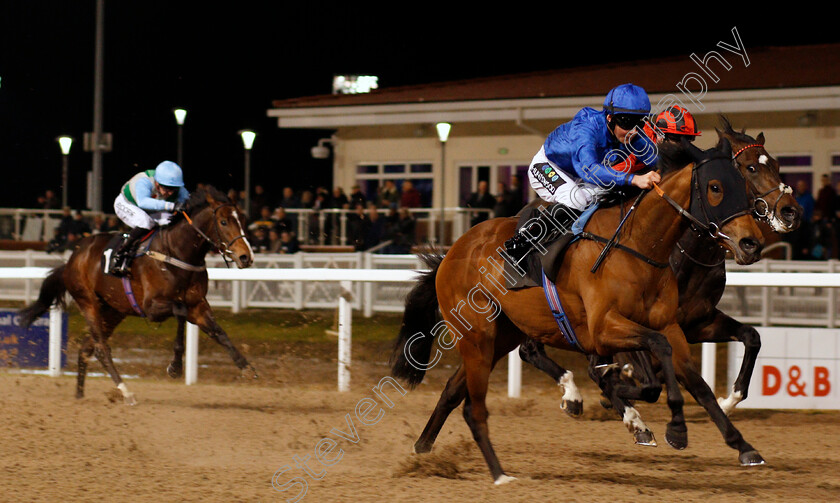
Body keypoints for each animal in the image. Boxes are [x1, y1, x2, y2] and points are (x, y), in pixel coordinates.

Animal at [19, 186, 254, 406]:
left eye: (242, 220)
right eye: (223, 222)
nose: (246, 257)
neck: (176, 252)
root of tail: (71, 259)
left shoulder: (197, 305)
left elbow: (218, 332)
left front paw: (245, 366)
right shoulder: (152, 308)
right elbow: (180, 311)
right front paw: (175, 367)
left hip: (113, 311)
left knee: (87, 347)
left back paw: (79, 395)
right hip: (88, 302)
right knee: (101, 348)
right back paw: (126, 392)